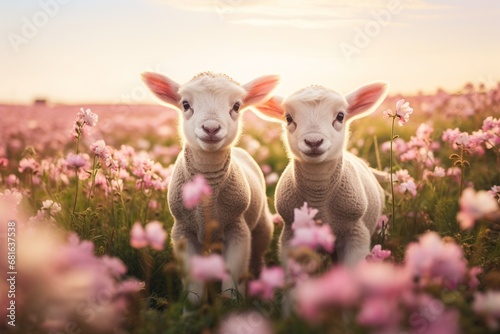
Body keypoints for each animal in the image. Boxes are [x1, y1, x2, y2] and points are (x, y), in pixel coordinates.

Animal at [143, 70, 280, 302]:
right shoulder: (182, 231)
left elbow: (232, 280)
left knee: (257, 257)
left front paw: (233, 304)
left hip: (262, 227)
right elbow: (194, 288)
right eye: (185, 104)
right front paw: (190, 309)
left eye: (236, 106)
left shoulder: (238, 229)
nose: (211, 128)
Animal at [256, 81, 388, 266]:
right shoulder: (291, 235)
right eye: (288, 118)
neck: (318, 196)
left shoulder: (356, 233)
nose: (313, 142)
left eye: (340, 116)